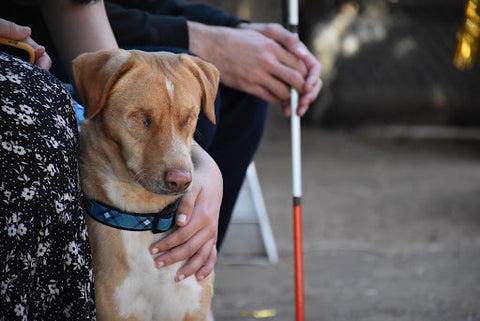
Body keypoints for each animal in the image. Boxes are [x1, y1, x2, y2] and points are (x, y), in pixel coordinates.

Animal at [72, 48, 218, 320]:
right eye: (143, 119)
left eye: (188, 118)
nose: (181, 180)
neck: (146, 218)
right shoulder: (116, 310)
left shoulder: (192, 308)